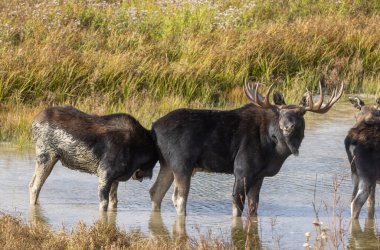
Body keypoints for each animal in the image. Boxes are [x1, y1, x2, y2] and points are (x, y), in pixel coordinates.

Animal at [29, 105, 157, 211]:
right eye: (155, 159)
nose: (148, 174)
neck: (139, 150)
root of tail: (34, 122)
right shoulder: (105, 173)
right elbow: (104, 204)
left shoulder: (115, 179)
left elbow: (114, 202)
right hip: (46, 156)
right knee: (35, 187)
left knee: (31, 184)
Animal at [149, 80, 344, 217]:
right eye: (280, 112)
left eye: (301, 113)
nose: (287, 126)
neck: (276, 151)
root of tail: (154, 127)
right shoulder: (243, 169)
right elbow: (237, 206)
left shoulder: (259, 175)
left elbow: (253, 207)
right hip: (182, 164)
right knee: (178, 198)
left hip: (168, 165)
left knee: (155, 192)